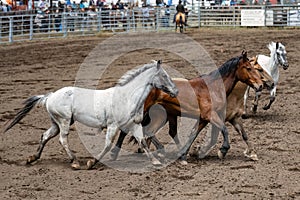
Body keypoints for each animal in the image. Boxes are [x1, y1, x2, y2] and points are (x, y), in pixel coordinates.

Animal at [4, 60, 178, 170]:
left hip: (57, 122)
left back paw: (33, 158)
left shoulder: (133, 125)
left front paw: (155, 161)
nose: (176, 91)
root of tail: (50, 96)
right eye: (164, 75)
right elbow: (108, 145)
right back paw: (74, 162)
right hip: (64, 121)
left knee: (45, 136)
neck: (126, 97)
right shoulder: (113, 126)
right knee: (62, 139)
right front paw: (91, 163)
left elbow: (142, 142)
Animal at [111, 50, 264, 163]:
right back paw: (116, 153)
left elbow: (194, 133)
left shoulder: (204, 118)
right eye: (248, 68)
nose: (261, 85)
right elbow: (224, 130)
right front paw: (223, 150)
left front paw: (184, 154)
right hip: (147, 114)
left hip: (161, 116)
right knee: (129, 129)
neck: (213, 88)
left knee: (152, 132)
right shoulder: (211, 116)